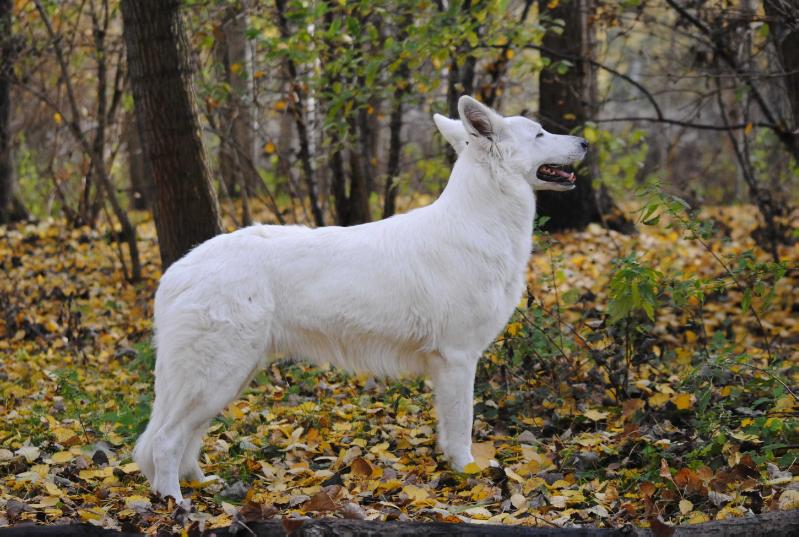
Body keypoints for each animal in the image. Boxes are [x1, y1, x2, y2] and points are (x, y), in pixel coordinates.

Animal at [134, 96, 588, 502]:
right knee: (166, 441)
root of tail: (175, 273)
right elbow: (462, 425)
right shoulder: (458, 359)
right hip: (218, 375)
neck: (480, 219)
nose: (585, 142)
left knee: (183, 437)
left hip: (230, 376)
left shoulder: (448, 365)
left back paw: (199, 484)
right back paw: (176, 502)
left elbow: (449, 426)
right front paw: (468, 473)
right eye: (539, 133)